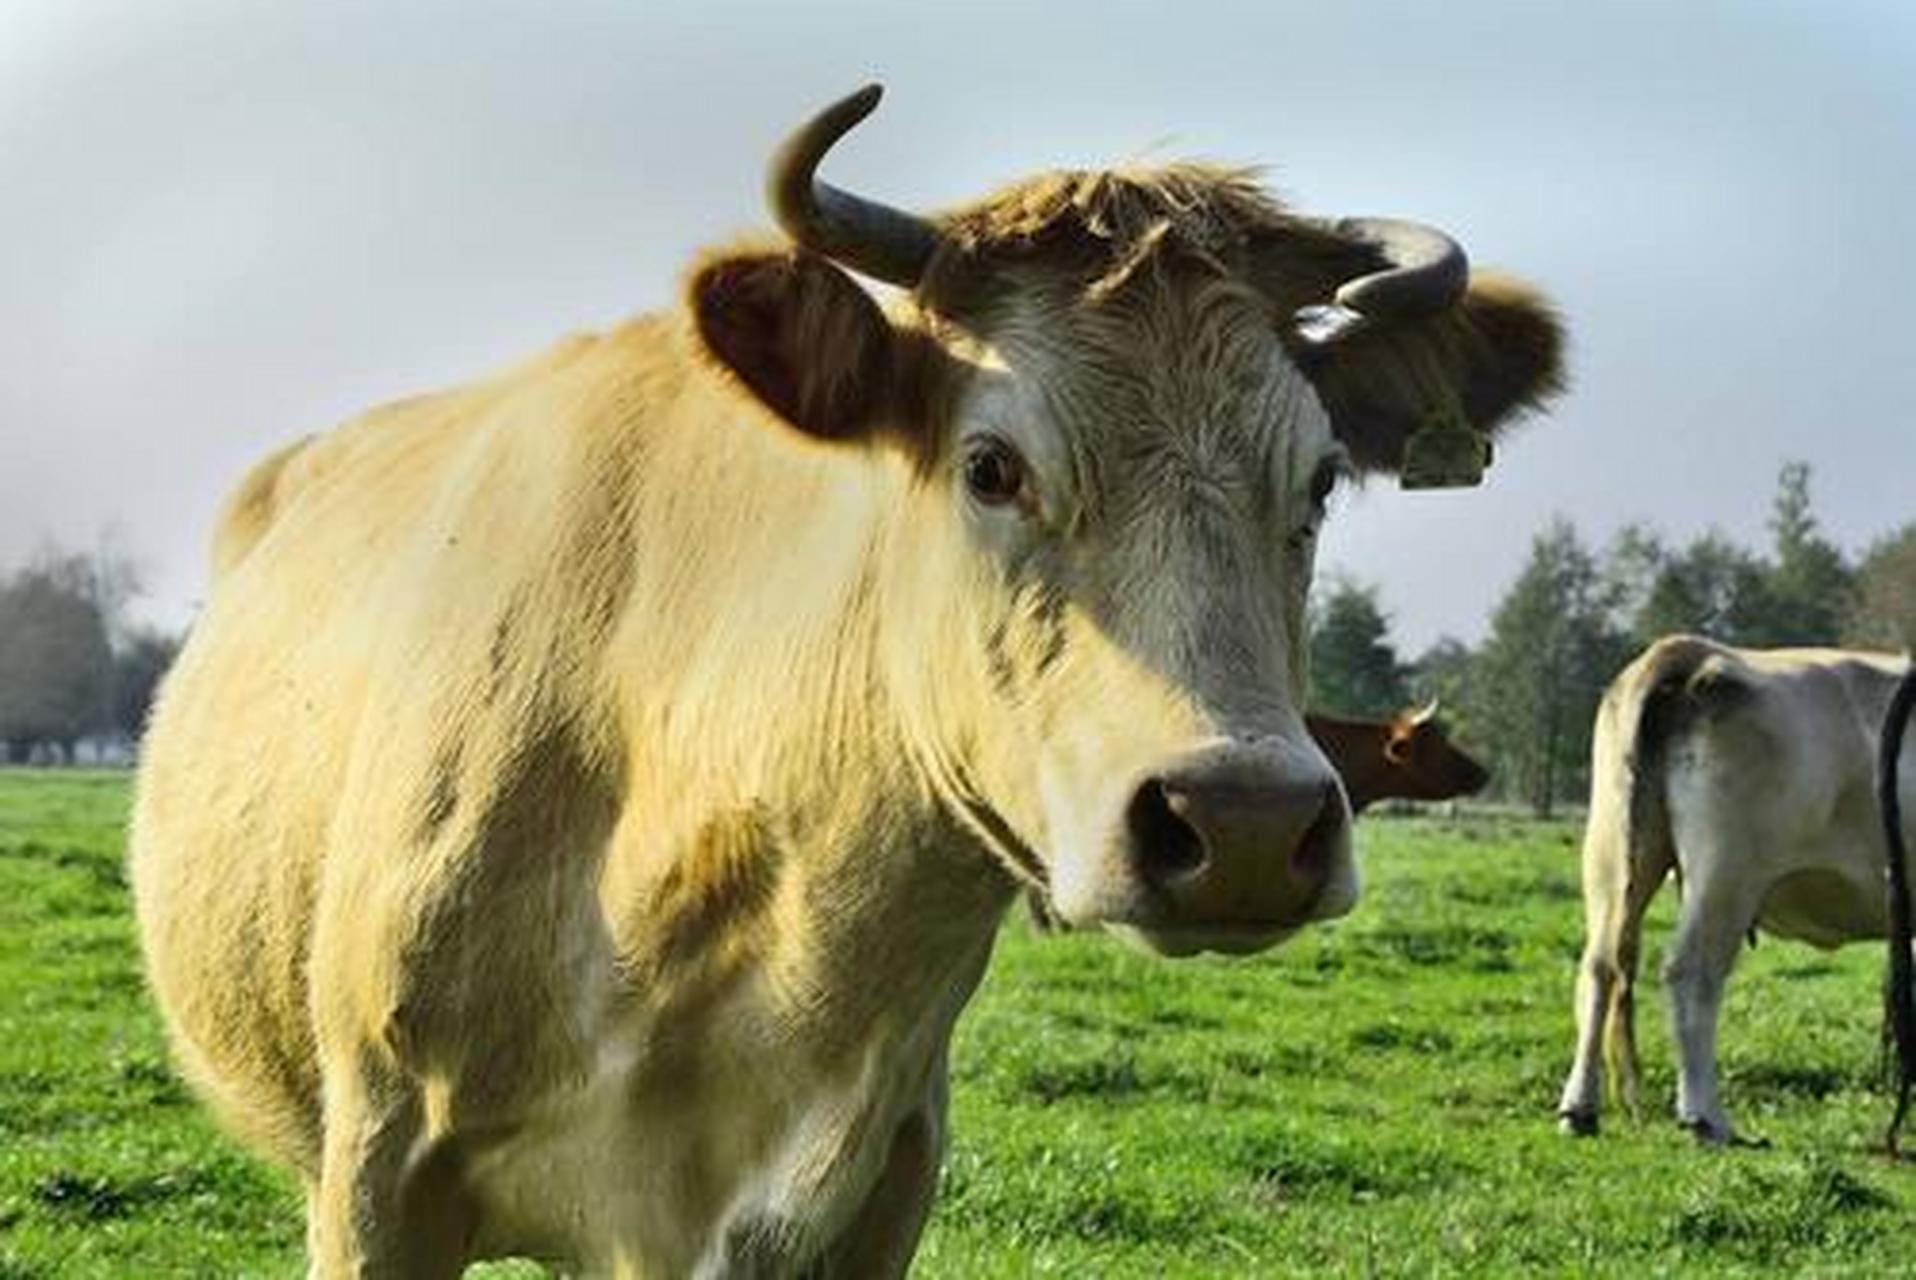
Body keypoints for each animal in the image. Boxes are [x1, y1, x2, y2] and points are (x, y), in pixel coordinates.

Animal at [1555, 636, 1916, 1142]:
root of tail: (1690, 654)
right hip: (1727, 871)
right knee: (1690, 972)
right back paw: (1704, 1115)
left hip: (1613, 853)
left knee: (1600, 967)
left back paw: (1579, 1108)